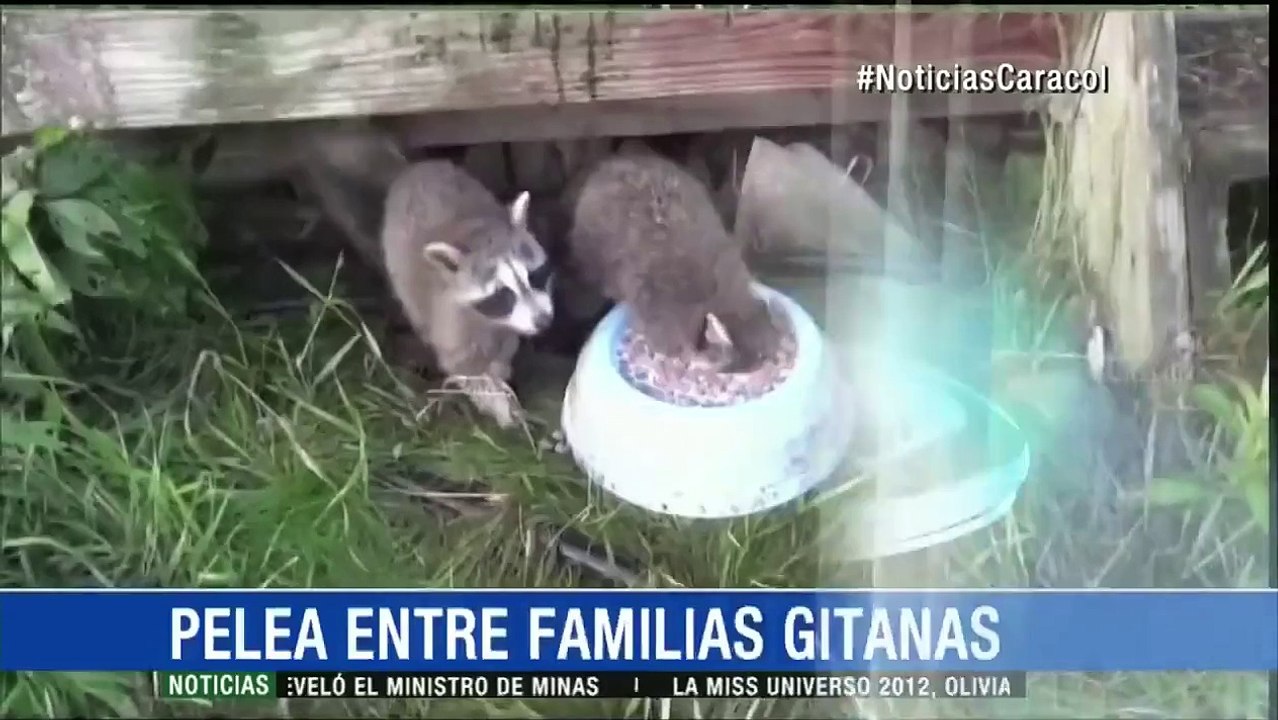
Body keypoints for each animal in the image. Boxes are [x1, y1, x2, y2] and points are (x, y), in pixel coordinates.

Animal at [381, 160, 555, 427]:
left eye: (534, 276)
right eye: (502, 294)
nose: (544, 321)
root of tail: (421, 165)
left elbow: (505, 346)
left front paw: (501, 372)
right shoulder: (449, 315)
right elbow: (464, 366)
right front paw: (497, 403)